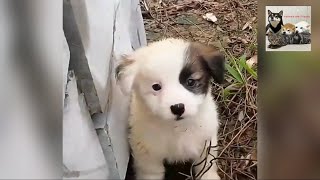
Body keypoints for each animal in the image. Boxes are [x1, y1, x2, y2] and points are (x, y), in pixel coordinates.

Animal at [115, 38, 225, 179]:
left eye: (190, 82)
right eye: (156, 86)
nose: (178, 108)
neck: (177, 128)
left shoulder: (206, 141)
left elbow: (206, 165)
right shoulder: (147, 152)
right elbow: (151, 172)